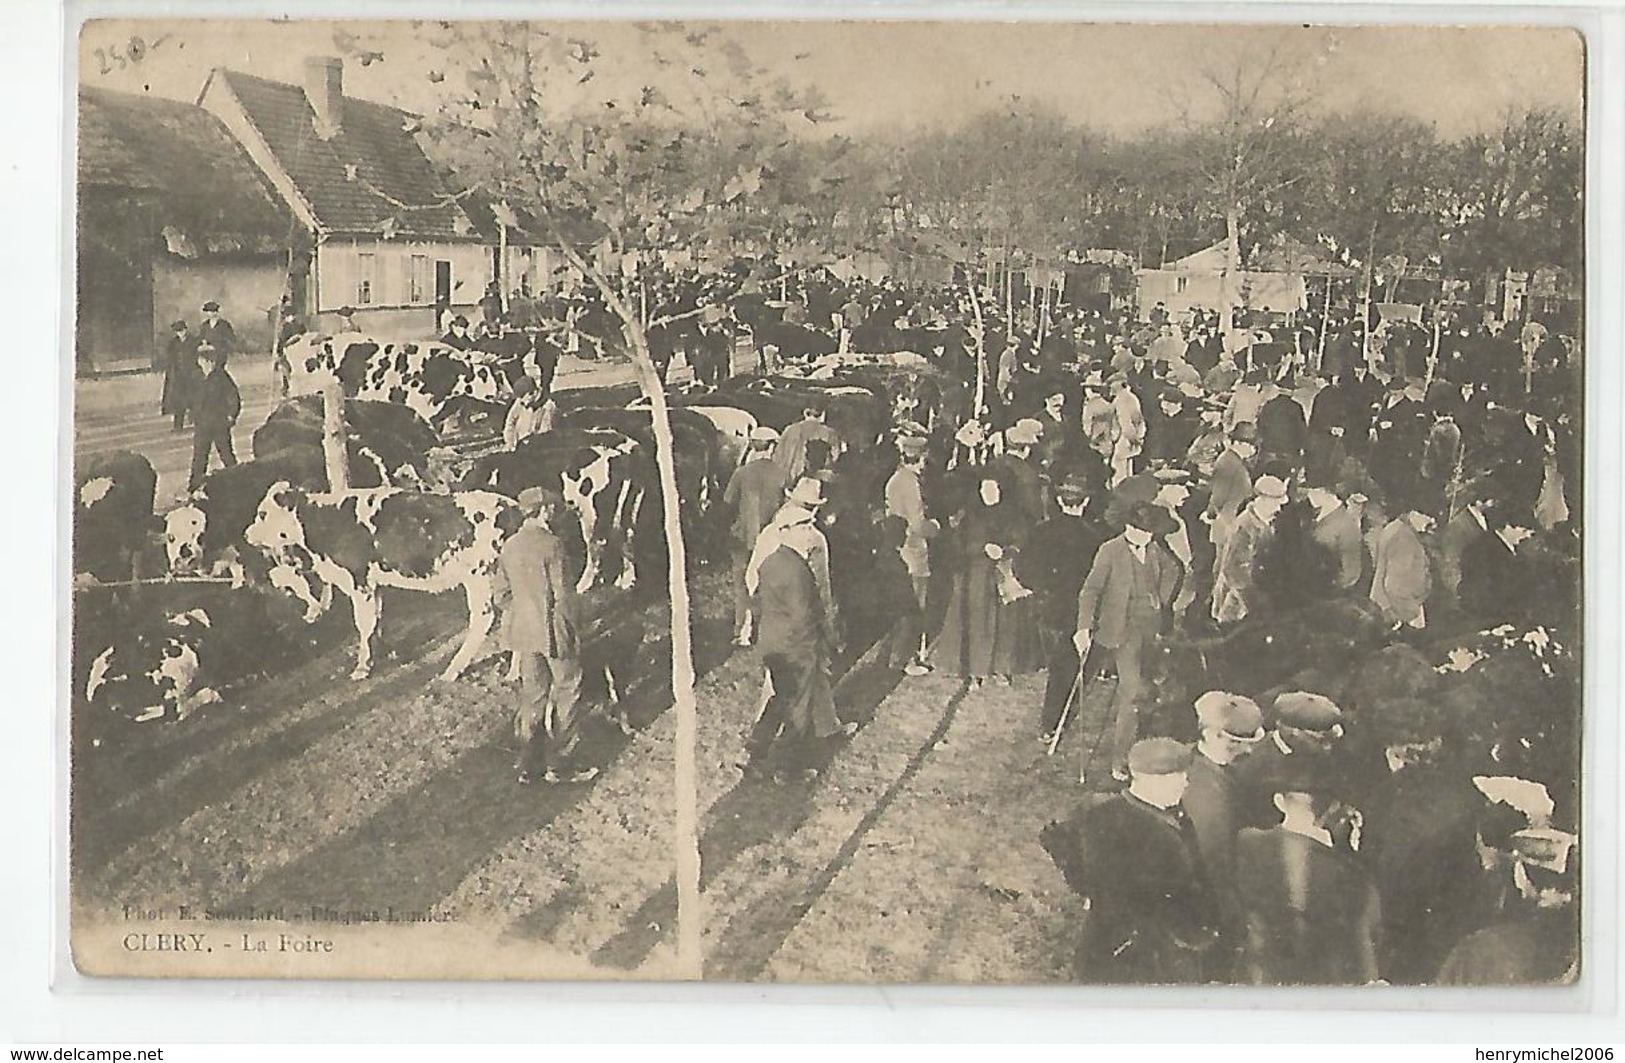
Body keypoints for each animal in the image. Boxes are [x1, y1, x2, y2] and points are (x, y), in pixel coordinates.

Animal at [243, 484, 523, 682]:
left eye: (262, 514)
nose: (246, 535)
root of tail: (510, 506)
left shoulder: (359, 580)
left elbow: (363, 624)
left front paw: (361, 668)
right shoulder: (373, 584)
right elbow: (376, 621)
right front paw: (388, 654)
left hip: (480, 576)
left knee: (484, 618)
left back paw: (453, 670)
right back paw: (513, 672)